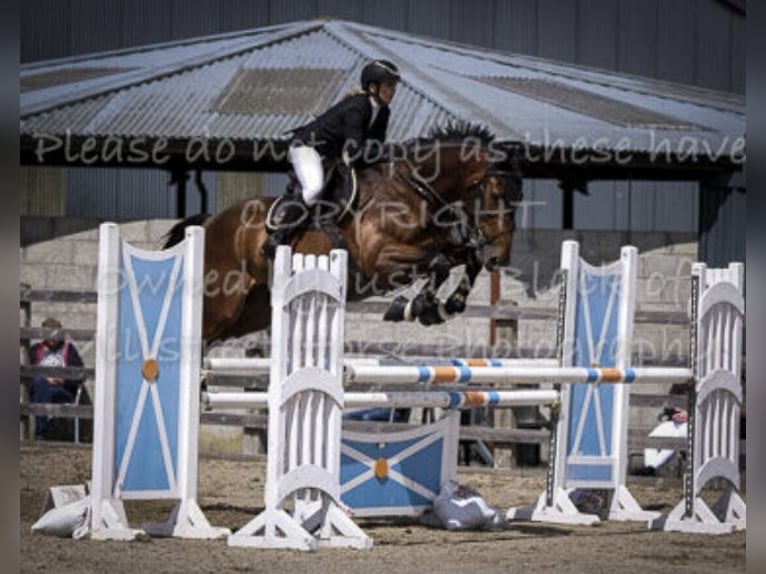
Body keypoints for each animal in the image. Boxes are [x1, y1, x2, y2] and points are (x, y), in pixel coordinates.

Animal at [165, 123, 524, 344]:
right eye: (496, 194)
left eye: (519, 195)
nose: (500, 257)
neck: (415, 191)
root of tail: (211, 221)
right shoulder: (379, 262)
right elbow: (439, 264)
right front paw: (414, 306)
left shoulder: (439, 246)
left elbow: (464, 259)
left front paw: (442, 307)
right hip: (220, 303)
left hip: (249, 313)